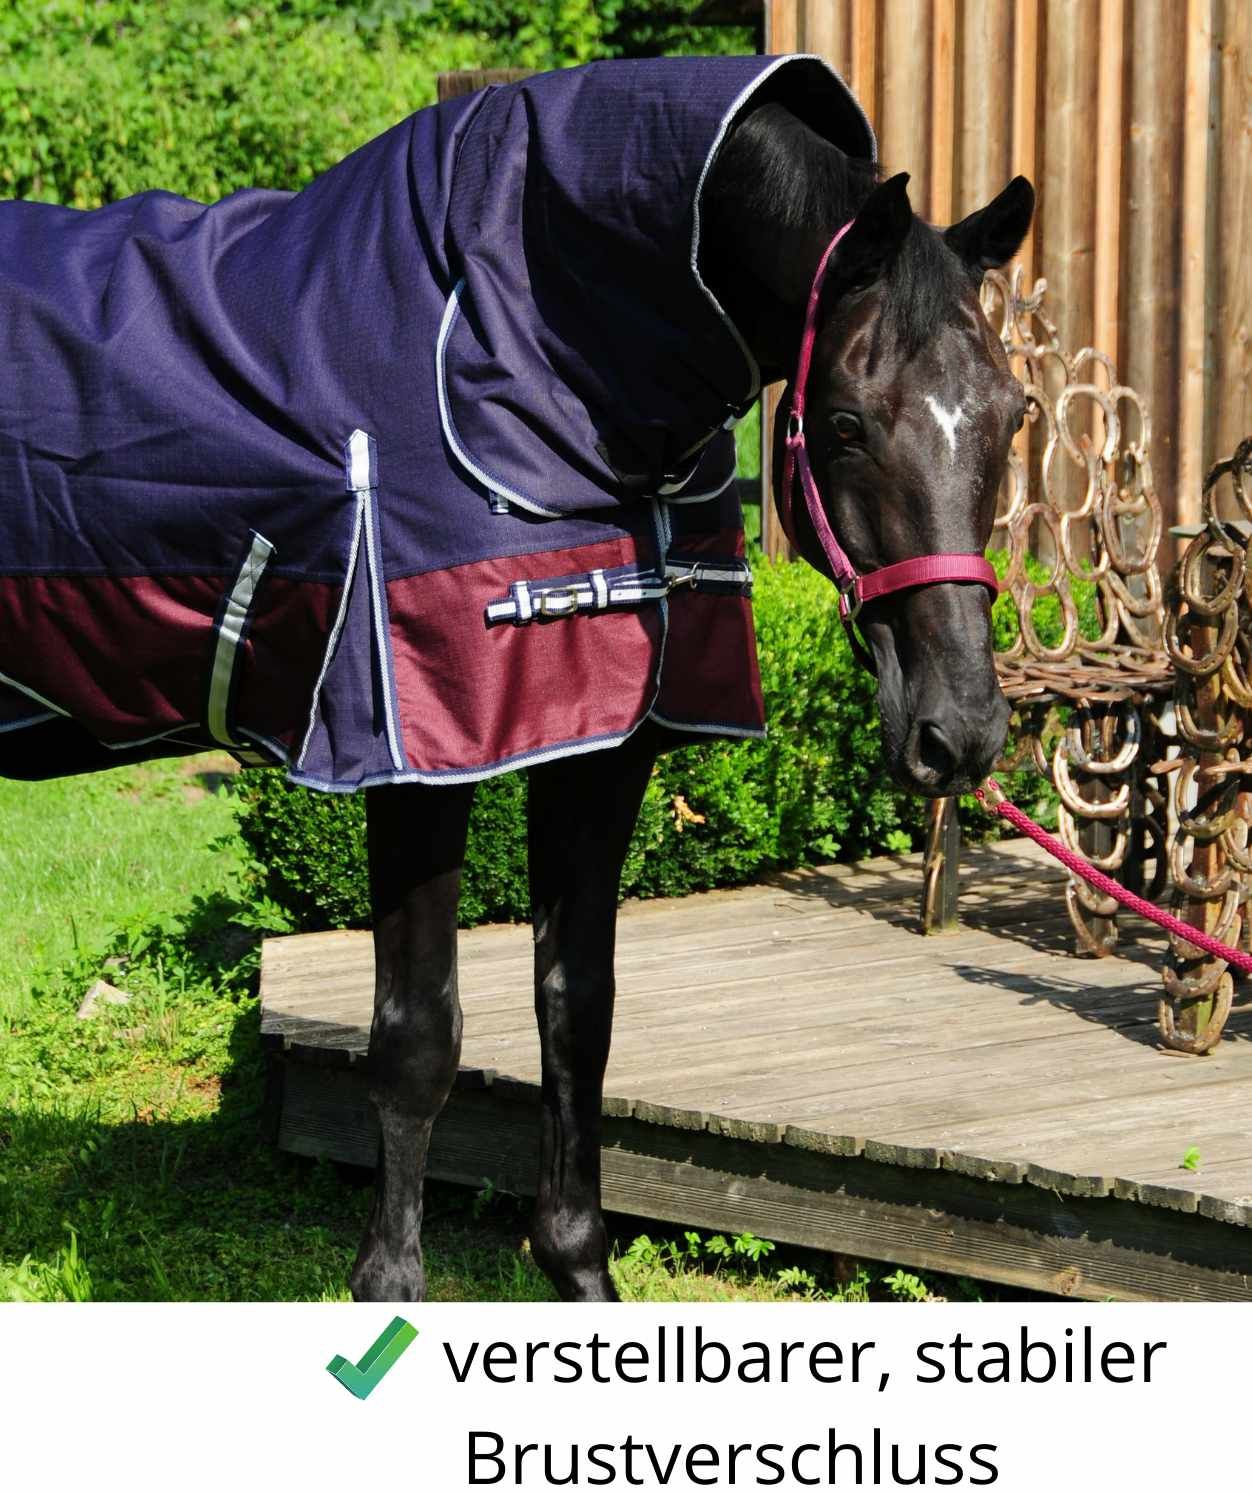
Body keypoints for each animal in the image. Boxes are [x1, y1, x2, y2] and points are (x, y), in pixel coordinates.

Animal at [0, 56, 1032, 1302]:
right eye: (843, 421)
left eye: (1012, 415)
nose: (960, 731)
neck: (526, 345)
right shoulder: (416, 759)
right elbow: (415, 1036)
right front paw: (388, 1286)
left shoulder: (601, 744)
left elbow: (576, 1009)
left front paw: (575, 1265)